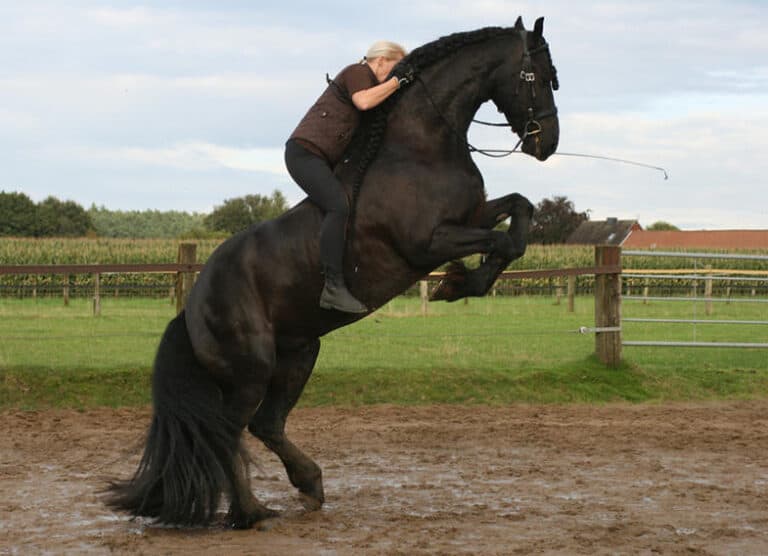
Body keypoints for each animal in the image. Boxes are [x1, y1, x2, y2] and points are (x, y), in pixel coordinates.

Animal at [106, 16, 559, 529]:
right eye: (539, 76)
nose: (548, 143)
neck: (420, 147)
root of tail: (191, 309)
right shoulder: (429, 242)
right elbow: (504, 241)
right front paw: (458, 282)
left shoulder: (473, 214)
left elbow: (519, 214)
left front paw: (460, 282)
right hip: (252, 369)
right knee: (229, 431)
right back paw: (250, 513)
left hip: (300, 353)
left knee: (266, 423)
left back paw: (308, 486)